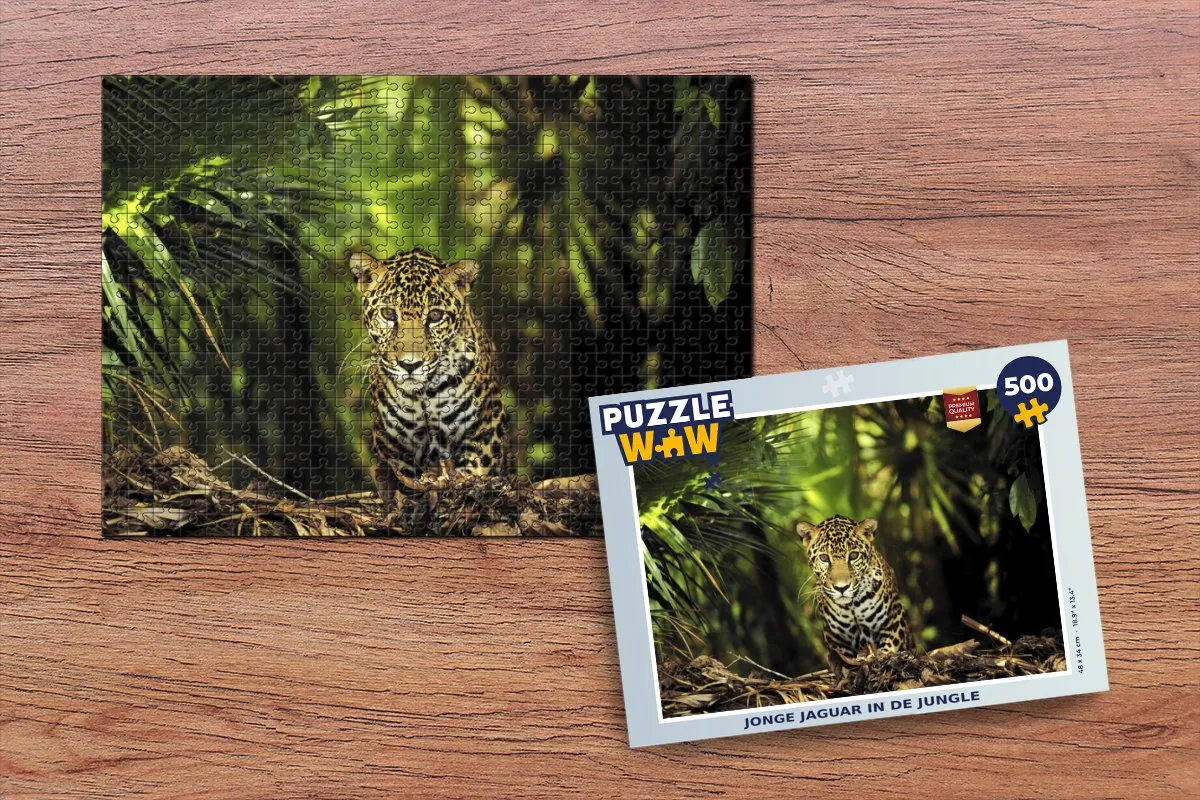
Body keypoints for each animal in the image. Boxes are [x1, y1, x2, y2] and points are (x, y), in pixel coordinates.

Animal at [349, 248, 508, 505]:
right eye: (388, 313)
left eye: (434, 316)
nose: (409, 364)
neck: (425, 394)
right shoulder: (393, 443)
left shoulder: (487, 426)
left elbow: (473, 472)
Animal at [795, 515, 914, 676]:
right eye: (824, 558)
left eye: (853, 555)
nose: (842, 588)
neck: (852, 606)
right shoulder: (837, 640)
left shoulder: (893, 622)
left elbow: (888, 651)